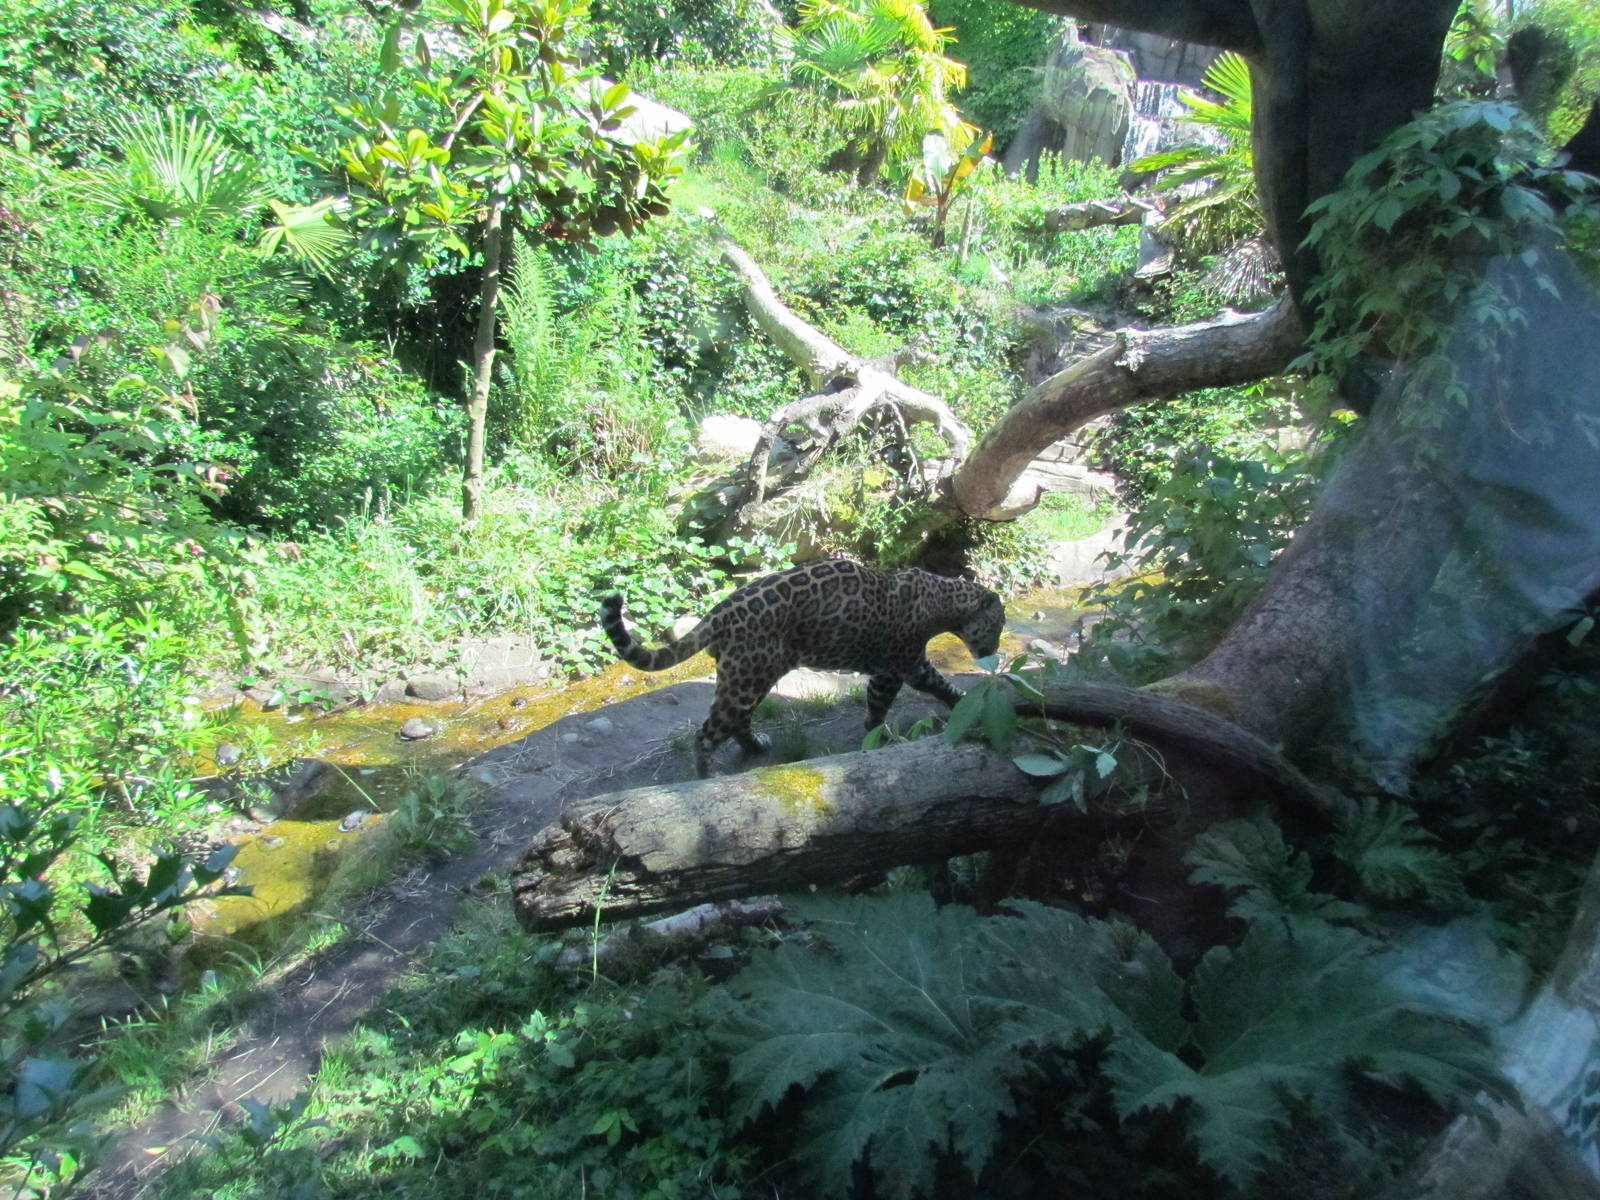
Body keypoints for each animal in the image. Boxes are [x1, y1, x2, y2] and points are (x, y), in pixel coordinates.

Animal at [600, 558, 1005, 777]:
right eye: (999, 624)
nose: (995, 648)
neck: (944, 601)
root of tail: (719, 612)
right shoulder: (902, 666)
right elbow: (918, 691)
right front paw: (887, 734)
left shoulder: (892, 669)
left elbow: (911, 694)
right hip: (747, 677)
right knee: (706, 734)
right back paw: (705, 776)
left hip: (752, 676)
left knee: (738, 720)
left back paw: (756, 746)